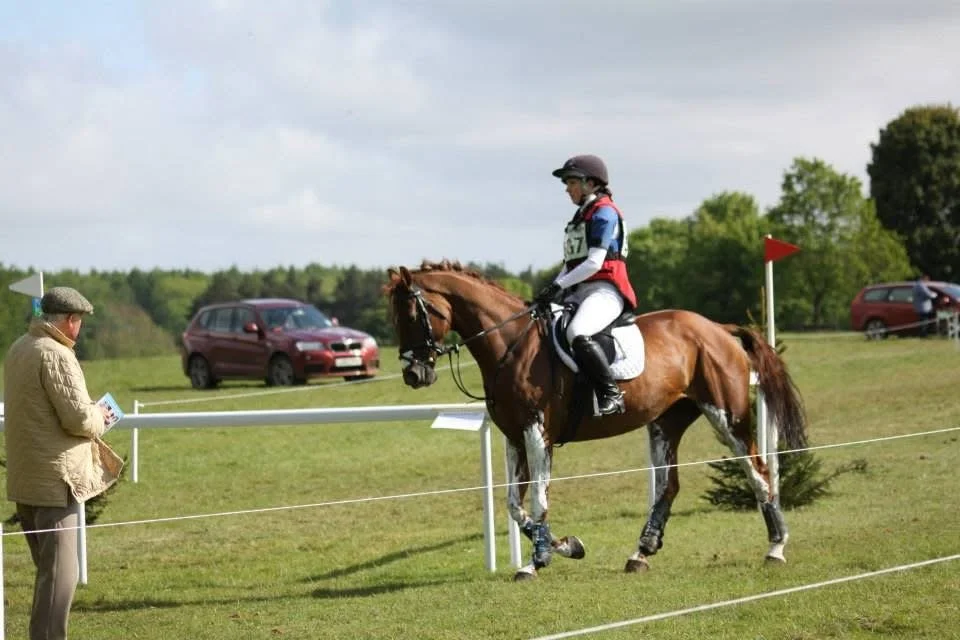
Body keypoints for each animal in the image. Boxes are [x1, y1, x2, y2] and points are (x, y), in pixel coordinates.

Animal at [385, 260, 806, 581]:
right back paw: (641, 552)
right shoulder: (514, 437)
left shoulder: (537, 434)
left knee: (757, 471)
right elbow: (514, 505)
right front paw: (564, 546)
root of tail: (717, 328)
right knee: (668, 485)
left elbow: (537, 500)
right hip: (665, 422)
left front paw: (539, 560)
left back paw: (776, 547)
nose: (414, 374)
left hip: (726, 415)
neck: (511, 344)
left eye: (414, 315)